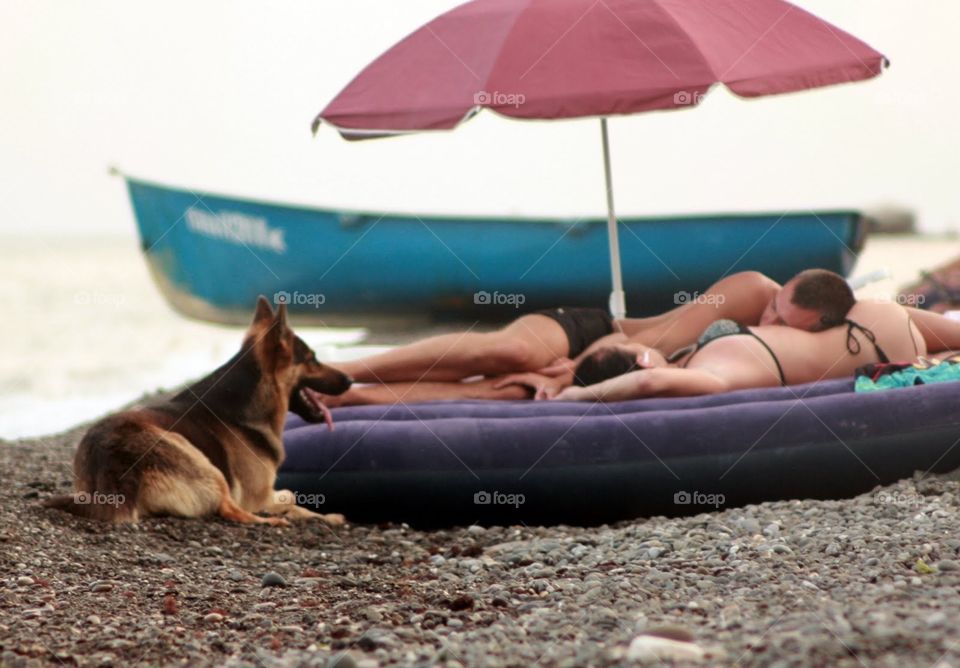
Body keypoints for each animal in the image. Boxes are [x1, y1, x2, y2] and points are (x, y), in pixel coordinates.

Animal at [45, 298, 352, 528]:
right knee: (231, 510)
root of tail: (111, 462)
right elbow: (289, 496)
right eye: (313, 358)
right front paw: (325, 516)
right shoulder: (259, 496)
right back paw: (272, 522)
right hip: (196, 457)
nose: (349, 379)